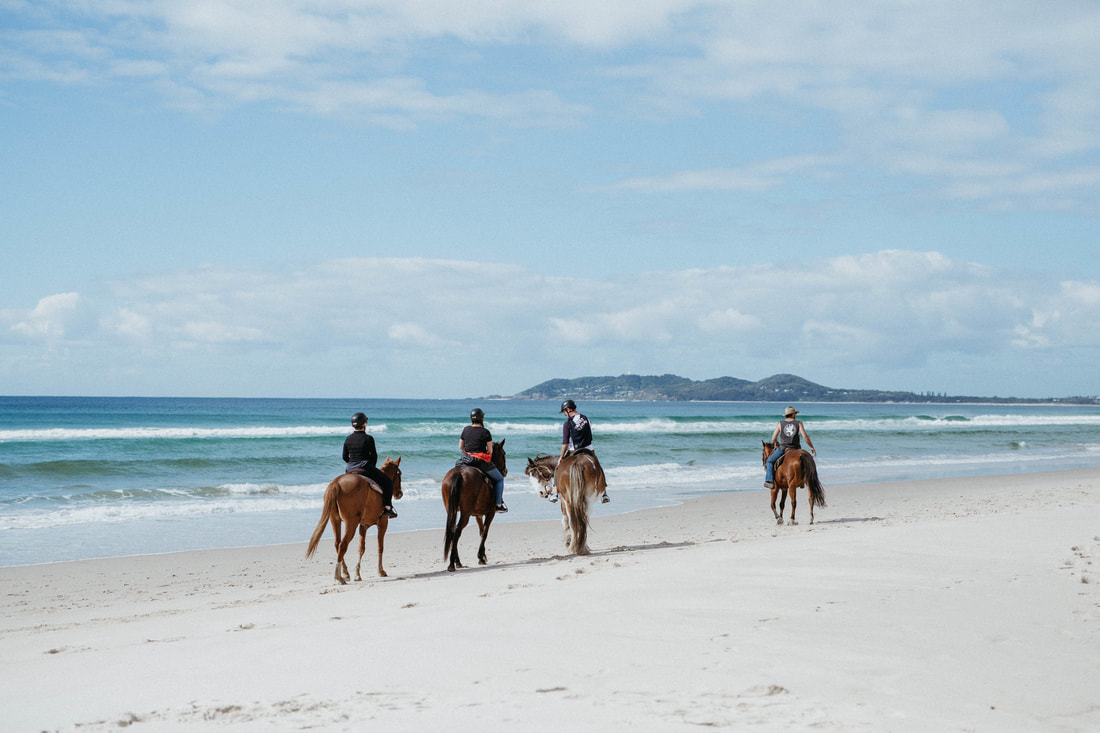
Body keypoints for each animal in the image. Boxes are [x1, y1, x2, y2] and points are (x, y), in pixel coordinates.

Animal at [440, 440, 508, 572]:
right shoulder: (490, 513)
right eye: (503, 453)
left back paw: (457, 562)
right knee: (457, 531)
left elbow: (481, 531)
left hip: (451, 510)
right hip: (465, 514)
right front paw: (481, 557)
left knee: (452, 530)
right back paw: (452, 563)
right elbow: (485, 532)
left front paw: (482, 556)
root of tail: (459, 473)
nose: (505, 471)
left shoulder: (478, 515)